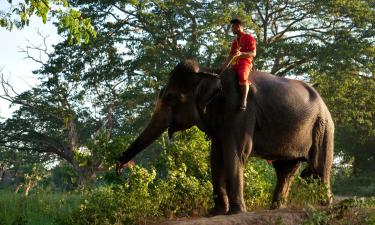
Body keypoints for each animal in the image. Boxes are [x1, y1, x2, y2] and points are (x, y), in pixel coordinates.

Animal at [117, 59, 334, 214]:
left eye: (171, 97)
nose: (119, 167)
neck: (211, 71)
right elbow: (215, 156)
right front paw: (216, 212)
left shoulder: (240, 110)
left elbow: (235, 153)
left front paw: (236, 212)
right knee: (285, 170)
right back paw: (276, 208)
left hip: (323, 127)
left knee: (320, 167)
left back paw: (325, 206)